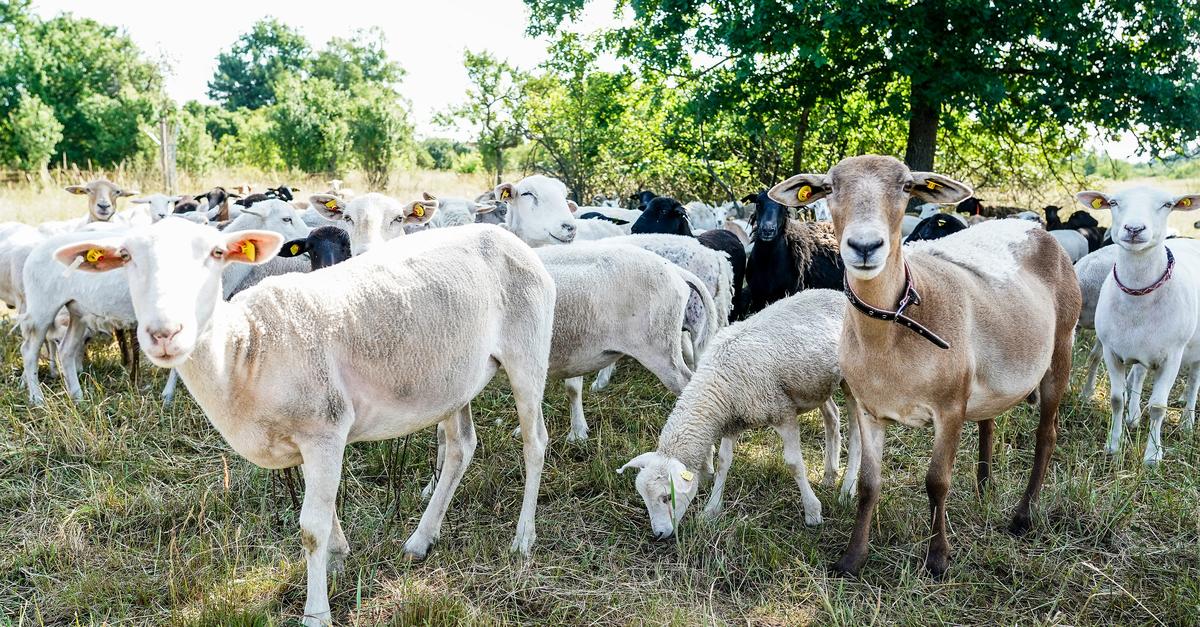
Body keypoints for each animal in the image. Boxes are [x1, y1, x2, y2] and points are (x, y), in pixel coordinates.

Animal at [54, 220, 557, 626]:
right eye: (126, 257)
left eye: (216, 254)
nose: (164, 333)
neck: (245, 350)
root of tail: (511, 239)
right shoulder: (312, 440)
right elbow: (327, 512)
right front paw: (338, 559)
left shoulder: (324, 429)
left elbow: (311, 527)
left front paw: (317, 612)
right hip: (455, 379)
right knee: (460, 447)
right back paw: (421, 538)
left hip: (527, 353)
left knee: (535, 442)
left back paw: (523, 538)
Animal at [619, 289, 863, 538]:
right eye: (644, 498)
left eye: (667, 497)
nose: (658, 534)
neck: (719, 381)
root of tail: (836, 293)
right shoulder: (732, 421)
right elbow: (723, 462)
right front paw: (711, 510)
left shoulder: (782, 412)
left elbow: (794, 464)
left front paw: (812, 511)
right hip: (816, 385)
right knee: (832, 416)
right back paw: (829, 475)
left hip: (850, 381)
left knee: (857, 431)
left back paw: (847, 489)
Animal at [771, 155, 1080, 576]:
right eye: (829, 187)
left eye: (906, 186)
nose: (865, 246)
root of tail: (1031, 226)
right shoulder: (868, 409)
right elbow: (869, 484)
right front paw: (852, 558)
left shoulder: (949, 407)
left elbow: (937, 482)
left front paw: (937, 558)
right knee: (989, 422)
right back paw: (984, 486)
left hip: (1060, 348)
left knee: (1046, 435)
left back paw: (1022, 517)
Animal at [1081, 186, 1200, 464]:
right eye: (1113, 202)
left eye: (1167, 204)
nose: (1134, 228)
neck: (1138, 298)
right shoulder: (1112, 351)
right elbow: (1116, 399)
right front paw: (1113, 446)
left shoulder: (1172, 357)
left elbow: (1157, 406)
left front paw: (1152, 456)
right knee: (1138, 374)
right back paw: (1134, 417)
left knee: (1194, 381)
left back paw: (1187, 422)